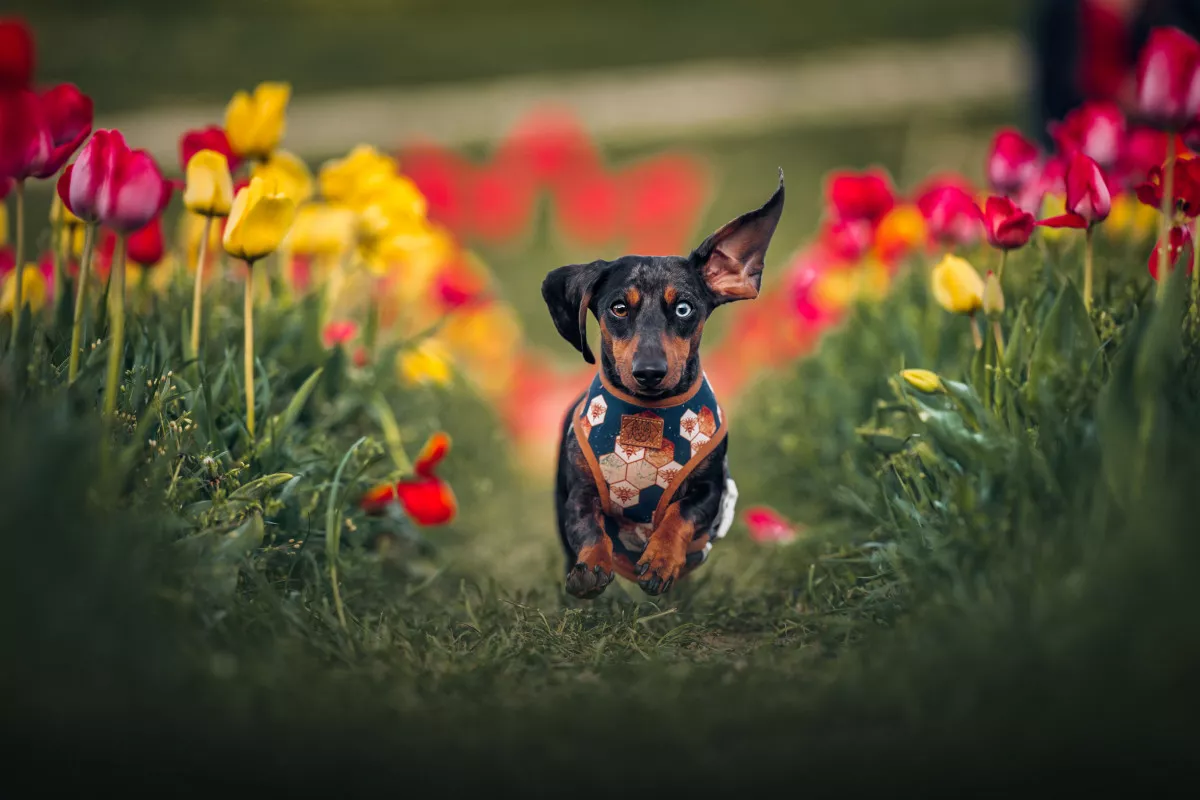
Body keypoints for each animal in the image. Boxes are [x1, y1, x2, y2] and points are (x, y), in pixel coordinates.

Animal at [544, 172, 787, 597]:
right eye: (618, 308)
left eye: (684, 308)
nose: (649, 372)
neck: (648, 419)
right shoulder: (578, 495)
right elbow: (589, 528)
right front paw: (591, 566)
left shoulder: (710, 490)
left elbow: (680, 514)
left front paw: (660, 559)